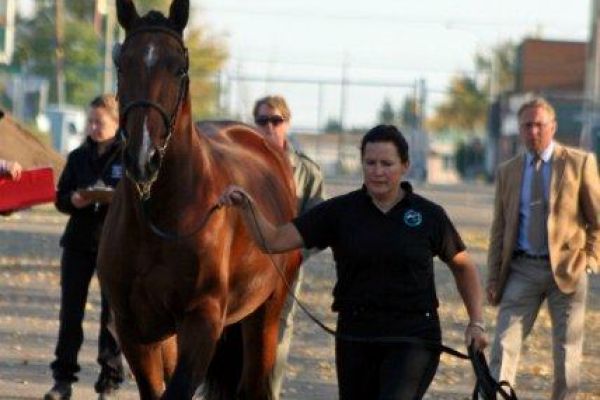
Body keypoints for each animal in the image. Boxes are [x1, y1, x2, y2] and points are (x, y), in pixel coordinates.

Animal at [98, 1, 302, 398]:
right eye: (122, 64)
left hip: (264, 315)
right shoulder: (135, 330)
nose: (143, 158)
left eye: (178, 68)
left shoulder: (202, 322)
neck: (158, 220)